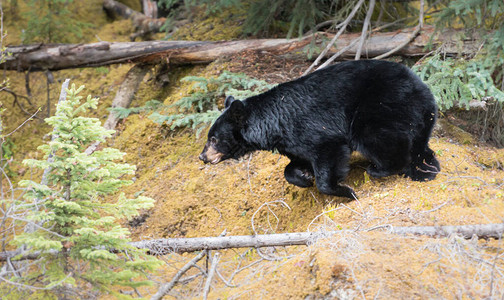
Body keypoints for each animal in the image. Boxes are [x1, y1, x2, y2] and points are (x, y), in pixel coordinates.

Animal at [199, 59, 440, 198]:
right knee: (418, 144)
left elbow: (328, 150)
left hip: (381, 104)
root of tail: (421, 84)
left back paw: (379, 169)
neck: (272, 124)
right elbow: (295, 162)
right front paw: (303, 177)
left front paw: (345, 191)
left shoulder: (309, 129)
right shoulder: (290, 142)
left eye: (213, 138)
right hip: (420, 114)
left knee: (376, 137)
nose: (202, 156)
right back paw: (426, 169)